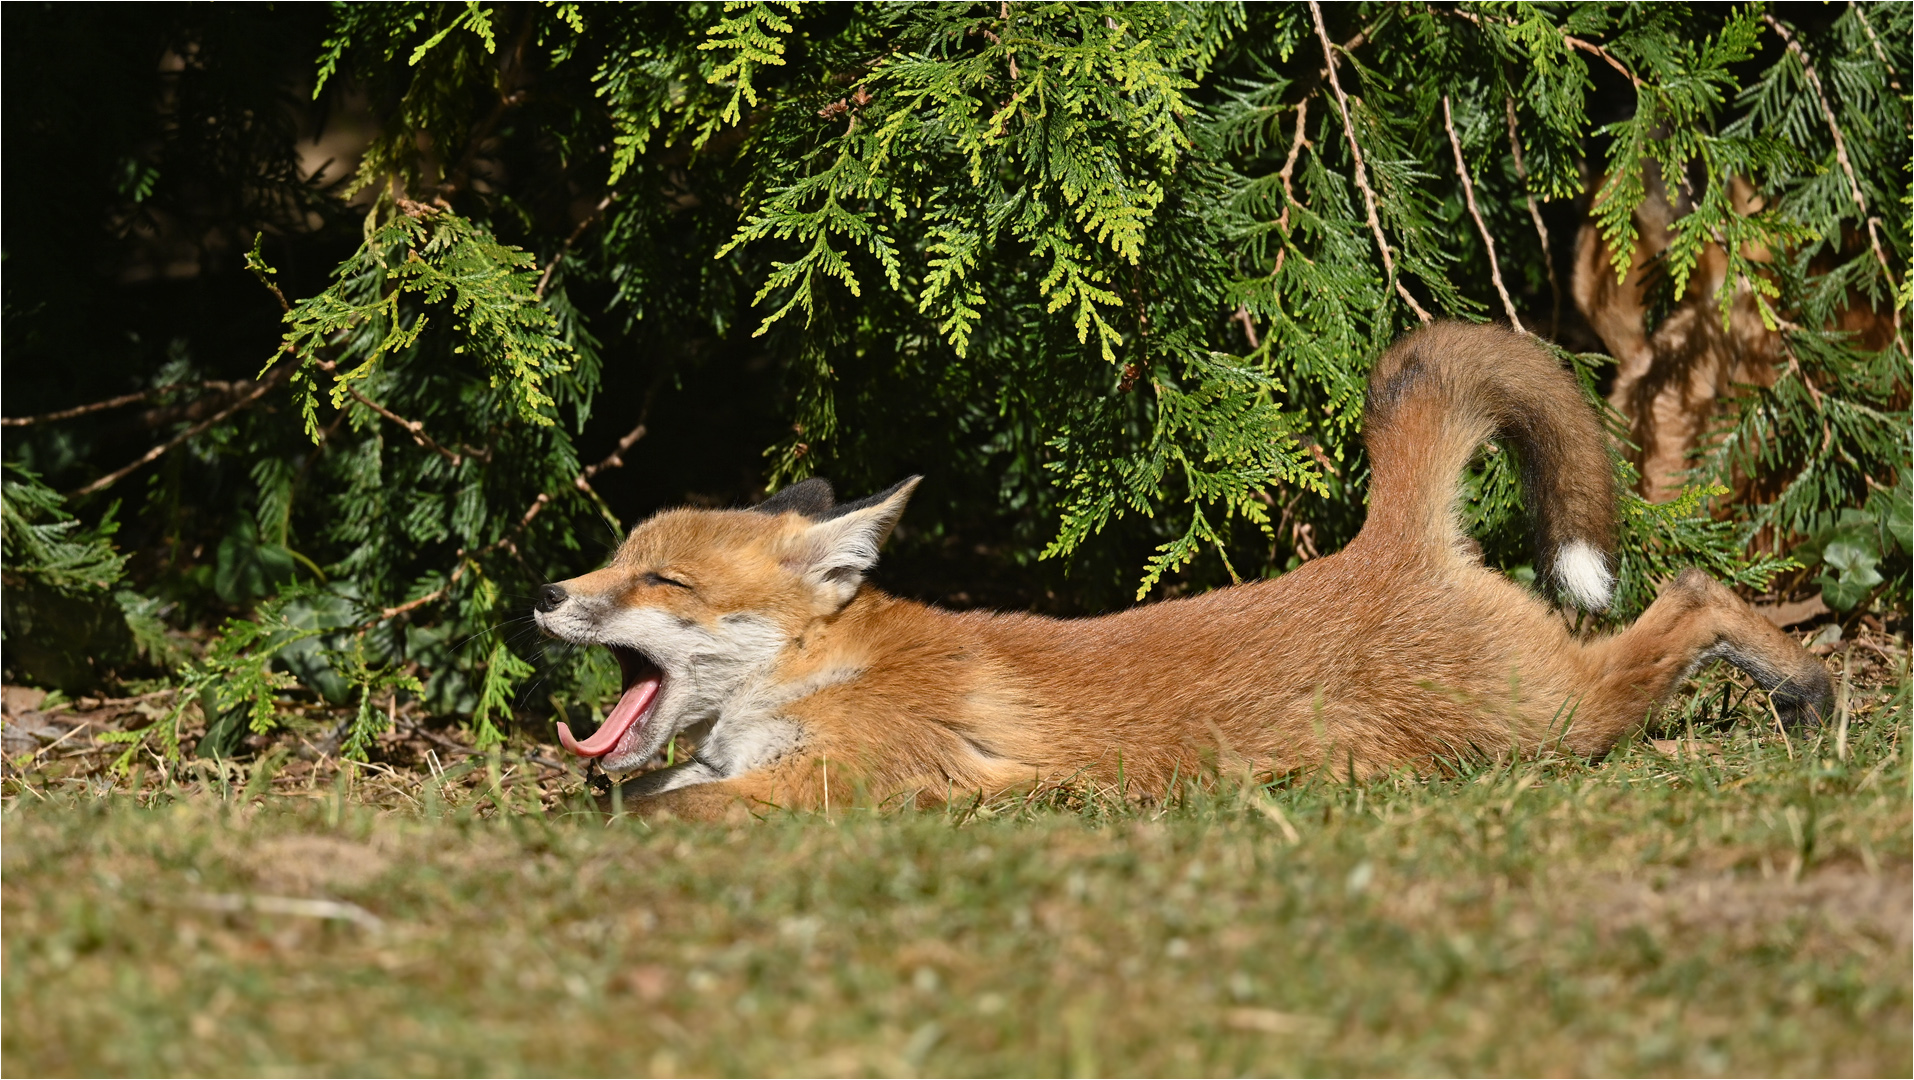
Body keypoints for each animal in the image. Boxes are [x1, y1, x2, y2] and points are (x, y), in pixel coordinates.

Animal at [535, 319, 1822, 819]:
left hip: (1542, 725)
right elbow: (642, 788)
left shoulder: (859, 788)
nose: (546, 596)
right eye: (613, 559)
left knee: (1693, 598)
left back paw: (1806, 685)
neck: (818, 676)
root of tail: (1388, 542)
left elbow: (658, 812)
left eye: (664, 585)